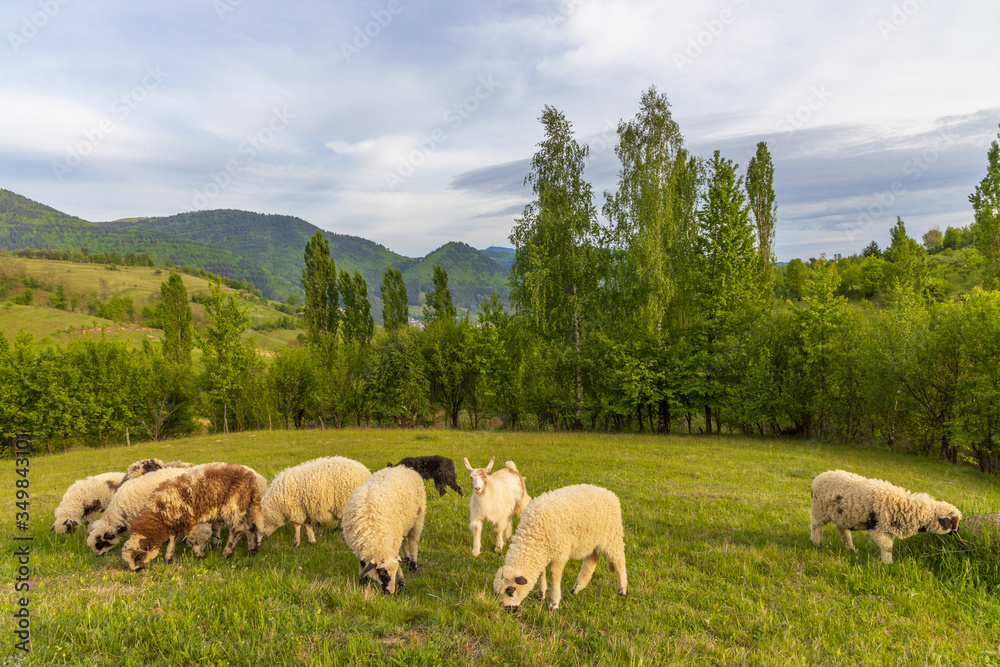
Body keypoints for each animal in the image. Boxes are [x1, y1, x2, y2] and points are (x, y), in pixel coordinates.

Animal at [122, 463, 263, 571]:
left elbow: (192, 540)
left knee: (237, 530)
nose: (135, 571)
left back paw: (226, 554)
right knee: (250, 528)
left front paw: (200, 556)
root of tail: (251, 478)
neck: (159, 511)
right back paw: (252, 551)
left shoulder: (188, 520)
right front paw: (168, 559)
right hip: (245, 507)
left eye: (138, 556)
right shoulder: (175, 522)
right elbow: (171, 541)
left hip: (234, 506)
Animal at [341, 465, 426, 594]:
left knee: (413, 542)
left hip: (417, 520)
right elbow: (362, 563)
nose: (390, 592)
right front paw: (362, 581)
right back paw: (406, 558)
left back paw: (413, 565)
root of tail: (407, 469)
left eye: (394, 572)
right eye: (382, 573)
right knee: (404, 542)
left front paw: (401, 584)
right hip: (402, 525)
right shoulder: (360, 545)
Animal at [493, 484, 627, 612]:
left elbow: (554, 576)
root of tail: (610, 493)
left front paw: (554, 604)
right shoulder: (543, 552)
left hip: (612, 537)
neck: (533, 535)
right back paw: (577, 588)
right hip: (589, 541)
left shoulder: (559, 554)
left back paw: (622, 590)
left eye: (510, 591)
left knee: (618, 561)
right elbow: (541, 573)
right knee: (592, 560)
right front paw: (541, 594)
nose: (508, 610)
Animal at [810, 469, 962, 564]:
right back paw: (816, 543)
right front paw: (888, 564)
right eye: (953, 522)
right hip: (819, 510)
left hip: (843, 516)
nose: (957, 531)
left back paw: (851, 549)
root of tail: (819, 477)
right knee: (815, 526)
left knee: (843, 531)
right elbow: (887, 547)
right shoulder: (879, 529)